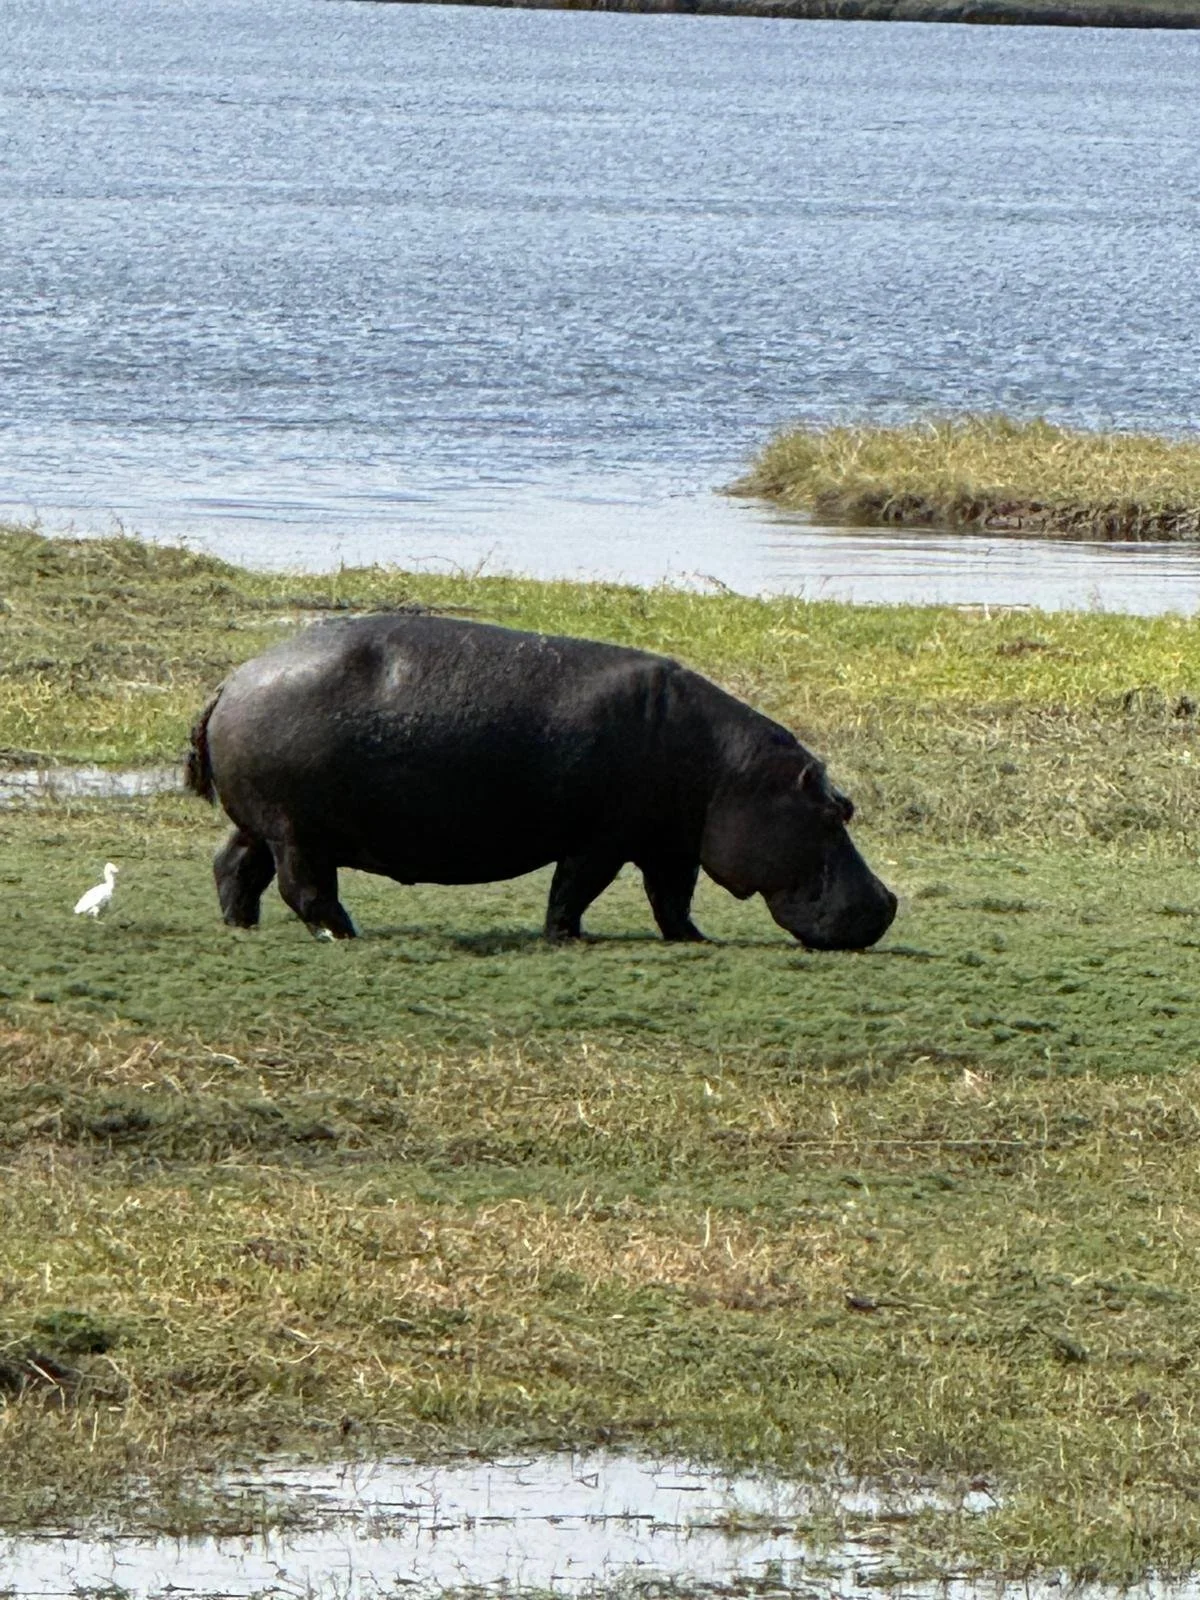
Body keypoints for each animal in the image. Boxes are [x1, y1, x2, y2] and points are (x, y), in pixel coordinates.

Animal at [185, 614, 897, 948]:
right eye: (837, 810)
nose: (888, 904)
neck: (733, 770)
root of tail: (231, 682)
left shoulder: (669, 842)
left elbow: (672, 898)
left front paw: (696, 939)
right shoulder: (603, 838)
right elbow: (574, 889)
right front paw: (567, 938)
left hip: (265, 822)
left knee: (235, 865)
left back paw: (242, 926)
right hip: (298, 829)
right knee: (304, 888)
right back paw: (345, 933)